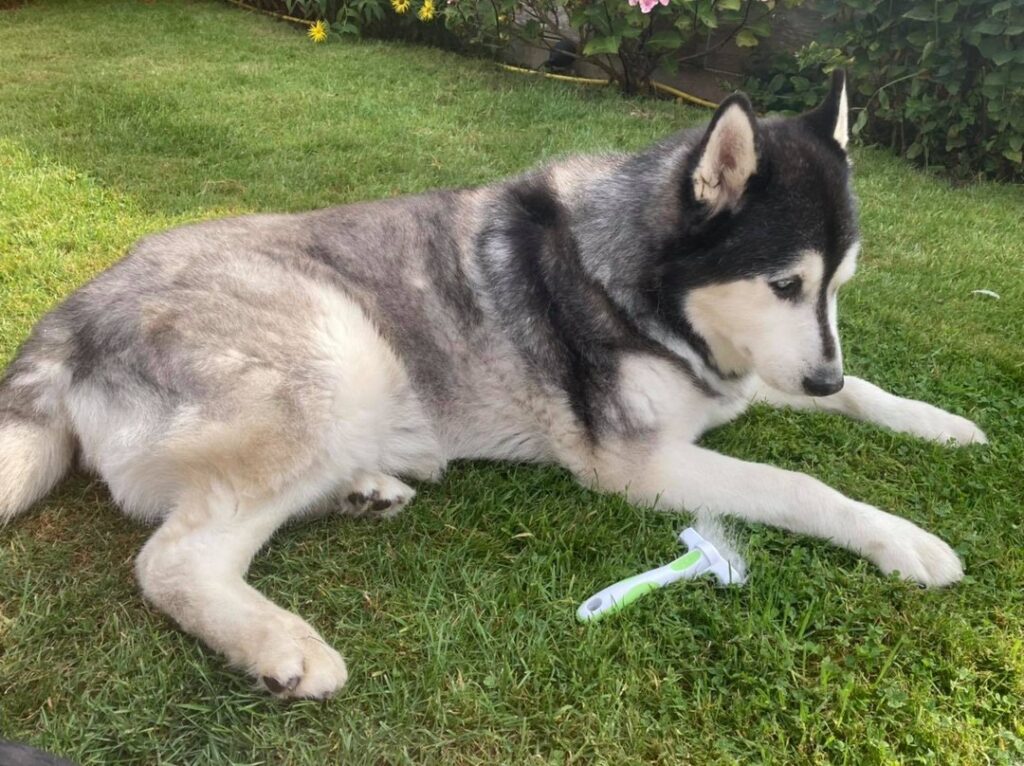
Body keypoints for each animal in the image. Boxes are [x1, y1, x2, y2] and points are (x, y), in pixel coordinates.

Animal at [4, 73, 987, 700]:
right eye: (785, 283)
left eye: (840, 284)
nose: (821, 377)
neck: (633, 278)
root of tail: (69, 313)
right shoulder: (636, 463)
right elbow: (804, 484)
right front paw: (906, 540)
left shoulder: (746, 373)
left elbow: (868, 393)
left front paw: (940, 423)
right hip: (338, 347)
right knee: (174, 559)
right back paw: (283, 645)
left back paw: (363, 489)